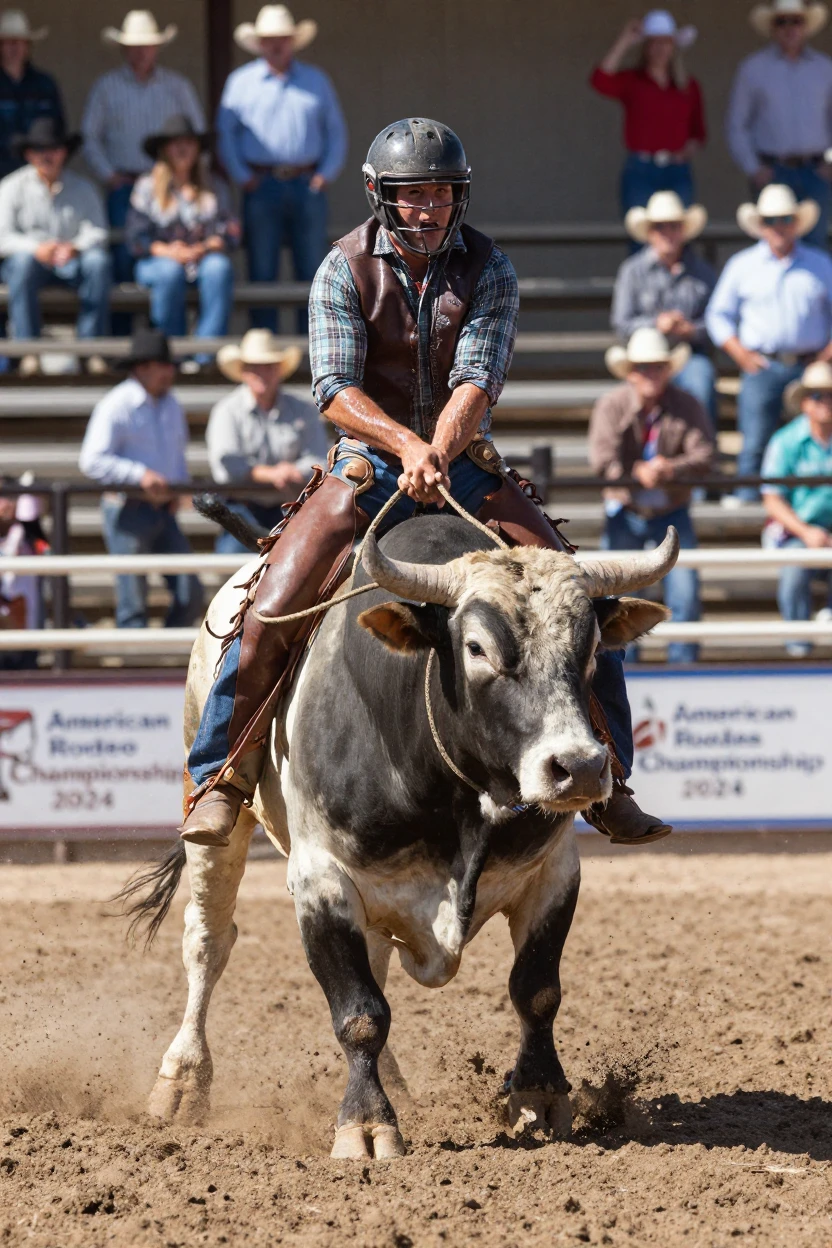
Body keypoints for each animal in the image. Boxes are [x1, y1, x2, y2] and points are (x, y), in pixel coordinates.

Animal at [120, 510, 678, 1159]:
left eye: (590, 648)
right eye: (476, 647)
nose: (581, 768)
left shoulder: (554, 873)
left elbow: (536, 990)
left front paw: (538, 1096)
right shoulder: (321, 880)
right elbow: (360, 1012)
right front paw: (365, 1125)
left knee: (378, 959)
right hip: (215, 823)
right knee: (208, 941)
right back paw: (181, 1082)